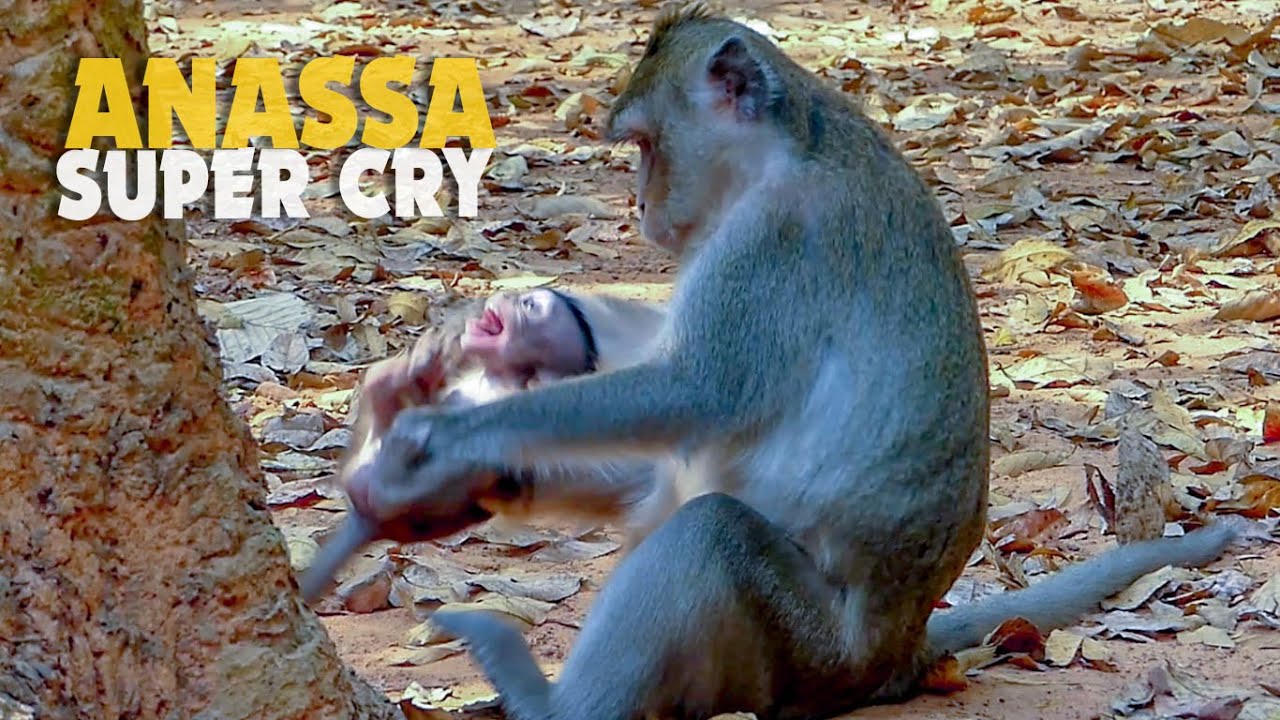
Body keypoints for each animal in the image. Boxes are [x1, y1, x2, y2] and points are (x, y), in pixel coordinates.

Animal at [298, 287, 669, 603]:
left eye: (529, 306)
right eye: (523, 299)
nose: (508, 295)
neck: (494, 378)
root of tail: (368, 515)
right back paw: (392, 388)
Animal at [343, 6, 1238, 719]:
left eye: (645, 146)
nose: (639, 204)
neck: (791, 144)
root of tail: (901, 648)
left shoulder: (772, 240)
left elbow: (697, 390)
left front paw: (444, 434)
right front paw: (525, 332)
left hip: (802, 649)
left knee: (708, 532)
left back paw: (551, 703)